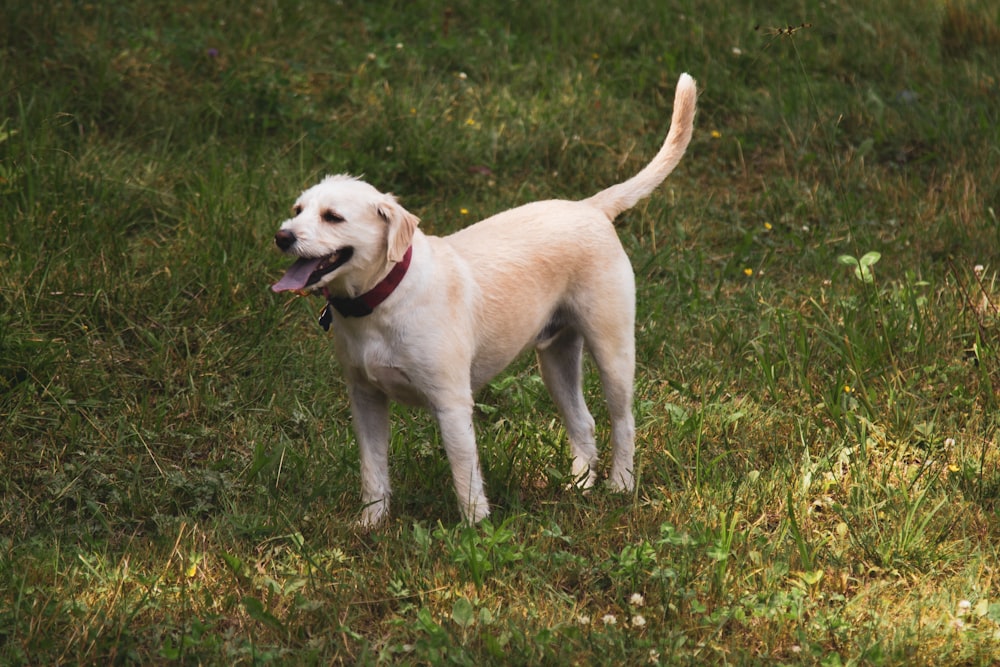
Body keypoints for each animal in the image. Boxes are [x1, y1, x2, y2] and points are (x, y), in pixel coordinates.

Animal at [274, 69, 696, 528]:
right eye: (297, 210)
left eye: (333, 217)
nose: (282, 236)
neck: (384, 298)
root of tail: (591, 207)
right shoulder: (365, 398)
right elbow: (373, 470)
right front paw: (371, 523)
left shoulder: (452, 404)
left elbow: (464, 472)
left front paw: (475, 529)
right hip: (556, 358)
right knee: (583, 422)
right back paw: (581, 484)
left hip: (613, 349)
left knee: (623, 421)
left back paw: (620, 483)